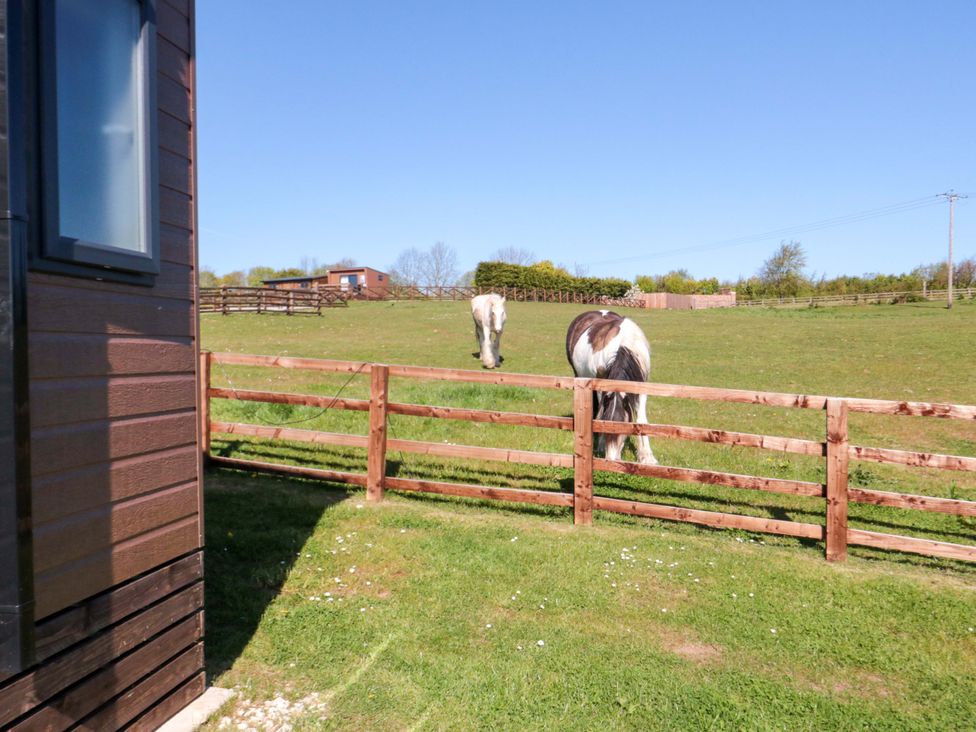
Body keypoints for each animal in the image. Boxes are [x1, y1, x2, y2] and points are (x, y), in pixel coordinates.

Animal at [566, 310, 657, 465]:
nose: (611, 459)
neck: (625, 343)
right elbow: (601, 412)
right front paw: (601, 445)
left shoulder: (642, 384)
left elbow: (641, 419)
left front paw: (646, 456)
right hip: (579, 374)